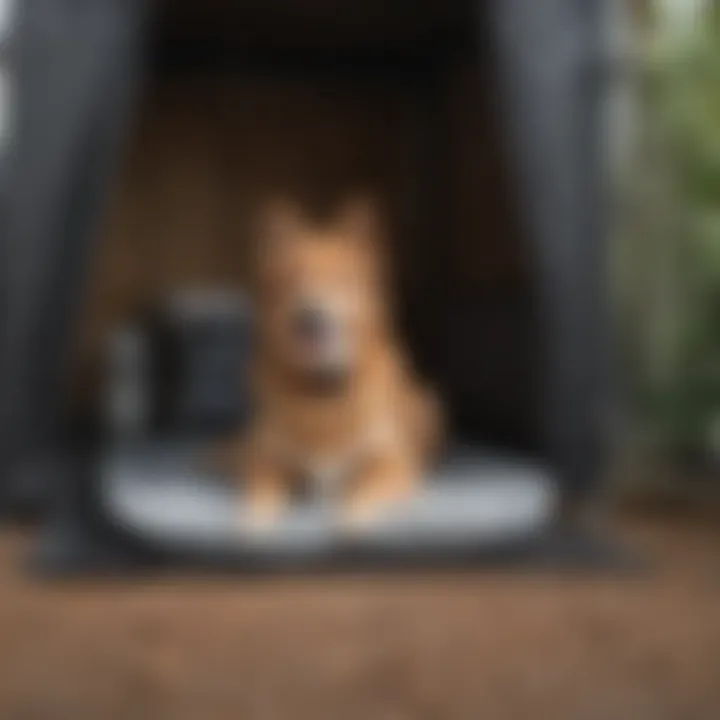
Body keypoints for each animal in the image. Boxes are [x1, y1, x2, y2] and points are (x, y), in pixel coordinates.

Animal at [236, 197, 442, 528]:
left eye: (339, 280)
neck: (322, 392)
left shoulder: (393, 462)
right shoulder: (268, 459)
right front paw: (253, 520)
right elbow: (260, 491)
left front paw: (349, 521)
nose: (309, 316)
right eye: (292, 279)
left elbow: (361, 495)